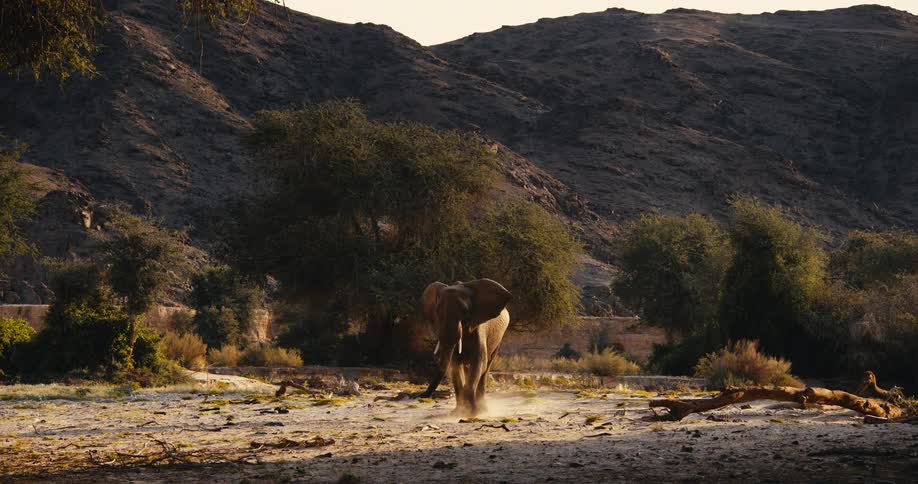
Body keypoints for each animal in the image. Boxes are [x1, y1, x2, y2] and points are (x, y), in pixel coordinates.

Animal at [418, 278, 512, 416]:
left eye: (465, 311)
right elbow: (454, 366)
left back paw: (483, 410)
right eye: (438, 311)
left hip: (499, 339)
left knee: (486, 367)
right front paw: (459, 413)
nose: (422, 396)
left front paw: (473, 412)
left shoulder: (479, 328)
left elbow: (479, 362)